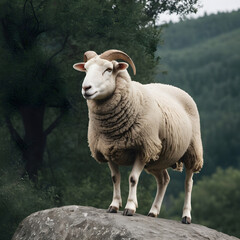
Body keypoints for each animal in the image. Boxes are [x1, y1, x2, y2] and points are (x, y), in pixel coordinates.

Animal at [73, 49, 202, 224]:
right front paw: (114, 206)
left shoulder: (143, 148)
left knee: (188, 183)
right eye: (85, 69)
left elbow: (133, 178)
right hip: (158, 158)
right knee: (164, 180)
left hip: (191, 150)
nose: (86, 88)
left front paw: (130, 208)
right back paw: (153, 211)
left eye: (108, 69)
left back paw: (186, 216)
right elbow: (115, 178)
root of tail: (175, 88)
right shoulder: (109, 149)